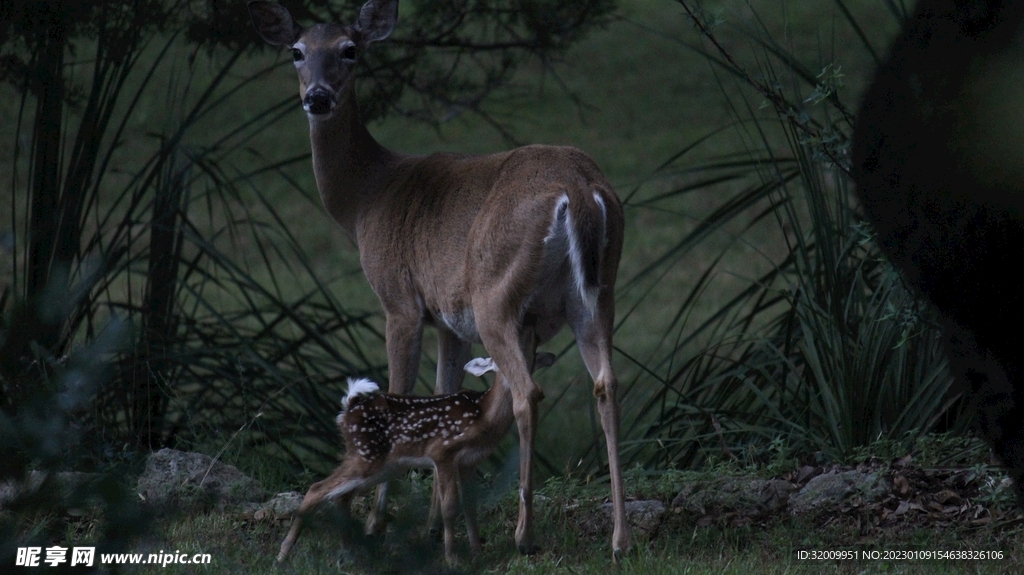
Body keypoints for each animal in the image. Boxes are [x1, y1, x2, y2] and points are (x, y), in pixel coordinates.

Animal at [277, 353, 555, 564]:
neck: (483, 414)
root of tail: (348, 407)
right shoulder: (442, 451)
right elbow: (450, 506)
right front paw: (452, 558)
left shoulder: (469, 461)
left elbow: (470, 506)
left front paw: (477, 551)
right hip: (366, 456)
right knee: (317, 489)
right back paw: (283, 554)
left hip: (380, 464)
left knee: (340, 496)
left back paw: (351, 553)